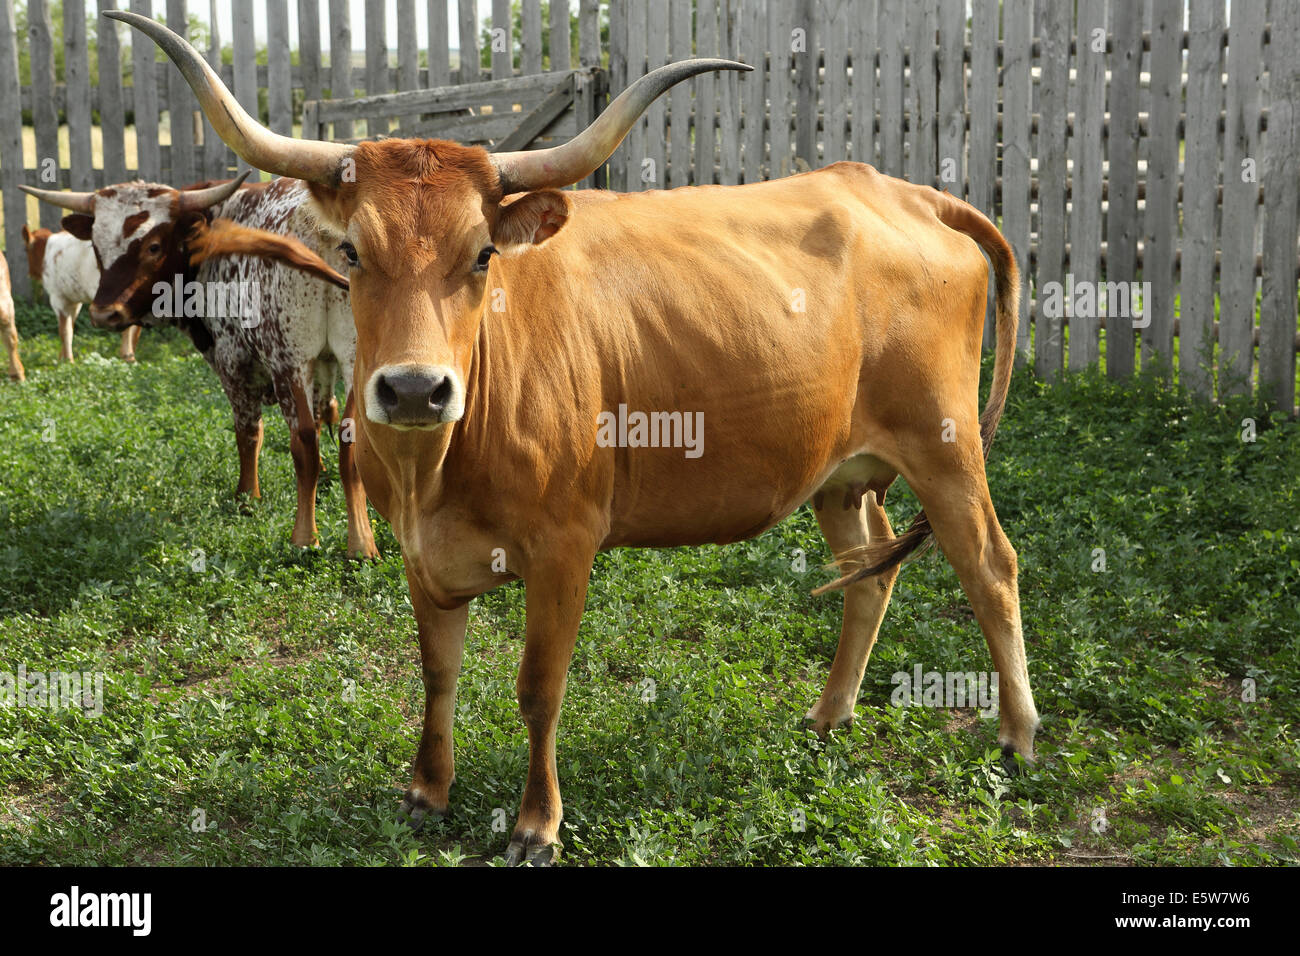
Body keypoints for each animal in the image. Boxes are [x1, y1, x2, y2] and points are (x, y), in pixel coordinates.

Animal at [23, 223, 142, 361]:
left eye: (26, 250)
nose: (30, 273)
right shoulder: (74, 300)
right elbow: (70, 325)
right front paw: (62, 357)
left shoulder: (57, 297)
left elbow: (64, 330)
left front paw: (68, 360)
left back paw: (127, 356)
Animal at [126, 11, 1040, 868]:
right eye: (350, 252)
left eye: (483, 254)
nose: (416, 389)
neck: (436, 473)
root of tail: (901, 192)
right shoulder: (420, 554)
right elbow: (437, 672)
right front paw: (428, 788)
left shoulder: (566, 548)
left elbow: (540, 689)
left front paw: (537, 825)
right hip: (841, 472)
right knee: (870, 572)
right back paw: (828, 715)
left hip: (946, 446)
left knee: (991, 568)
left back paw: (1018, 735)